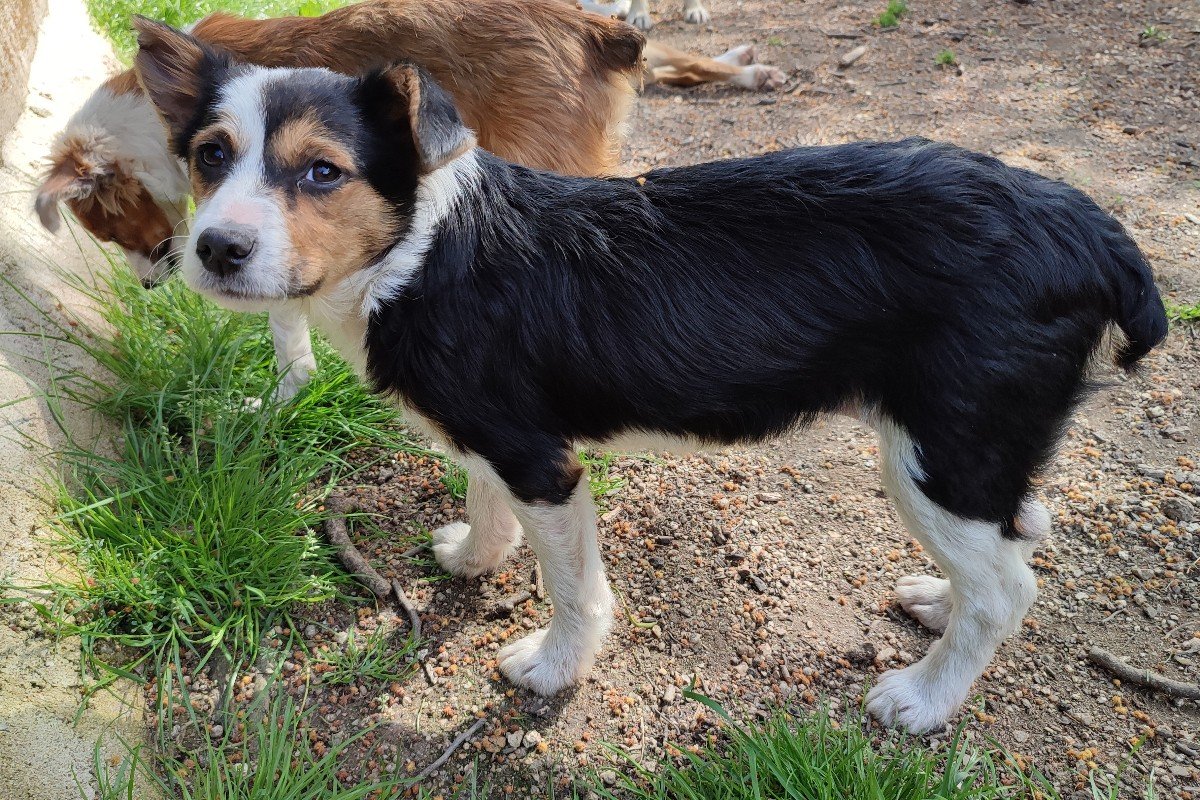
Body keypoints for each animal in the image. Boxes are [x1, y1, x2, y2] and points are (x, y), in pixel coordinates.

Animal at [136, 18, 1166, 734]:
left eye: (322, 172)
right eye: (210, 156)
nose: (215, 250)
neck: (416, 249)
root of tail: (1088, 224)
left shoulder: (542, 463)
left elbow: (572, 589)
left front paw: (552, 668)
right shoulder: (488, 437)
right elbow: (480, 498)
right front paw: (473, 558)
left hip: (940, 448)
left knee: (1008, 589)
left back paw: (925, 696)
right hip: (983, 446)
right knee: (1018, 533)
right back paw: (936, 599)